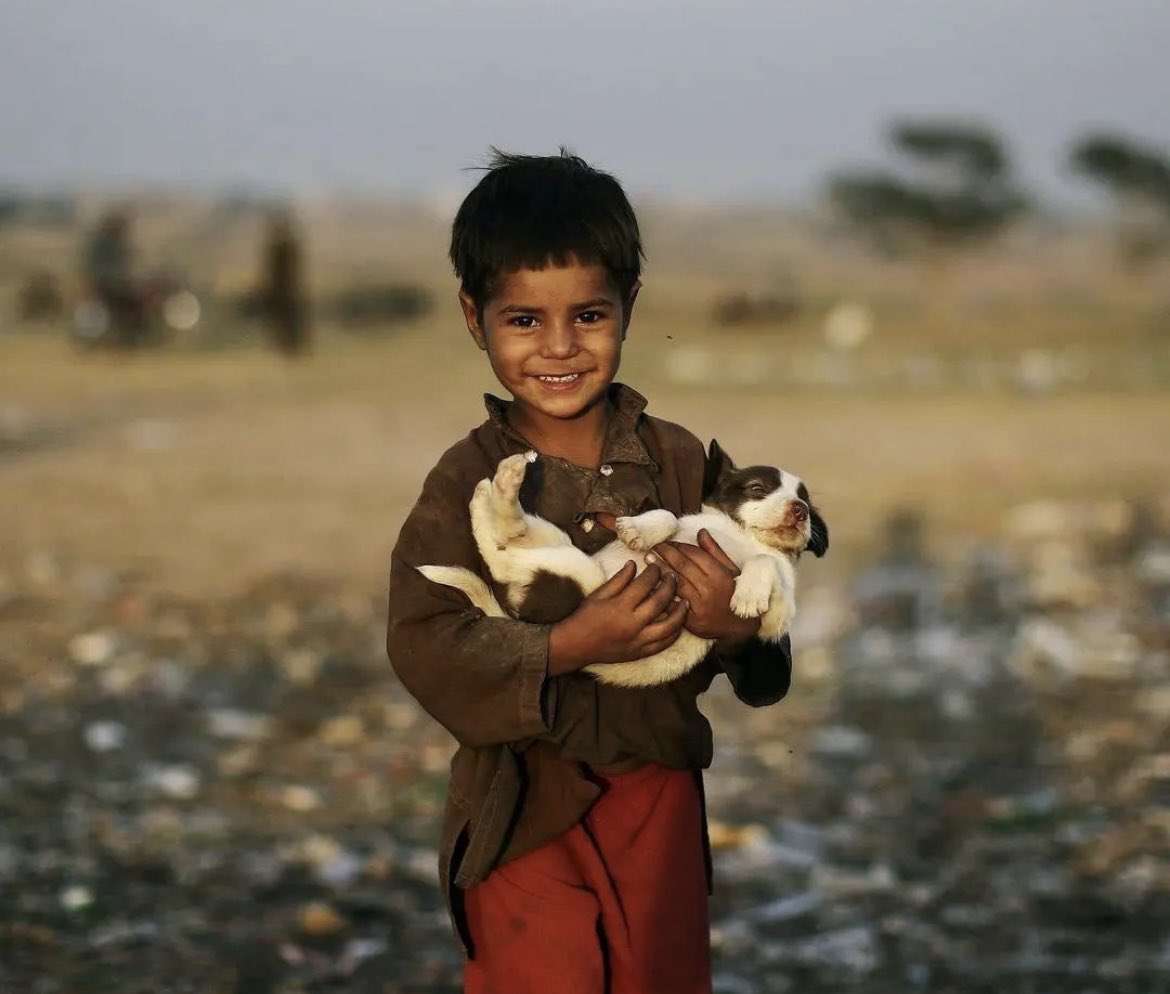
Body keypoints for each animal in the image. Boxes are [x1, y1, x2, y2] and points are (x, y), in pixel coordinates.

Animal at [416, 437, 828, 687]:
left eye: (806, 503)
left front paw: (747, 594)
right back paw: (491, 489)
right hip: (563, 548)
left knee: (503, 549)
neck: (743, 535)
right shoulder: (691, 522)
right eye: (758, 489)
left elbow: (765, 563)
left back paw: (497, 489)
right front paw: (639, 530)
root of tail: (521, 615)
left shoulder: (776, 619)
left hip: (573, 573)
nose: (800, 510)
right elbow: (669, 516)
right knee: (505, 540)